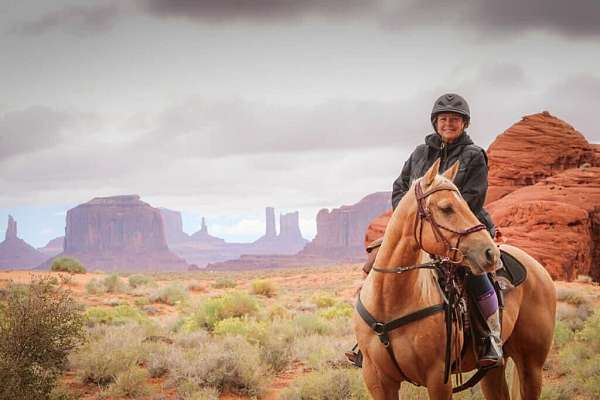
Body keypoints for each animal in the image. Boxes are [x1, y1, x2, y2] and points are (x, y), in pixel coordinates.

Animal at [352, 160, 556, 400]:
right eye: (446, 208)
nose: (490, 254)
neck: (390, 302)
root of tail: (537, 267)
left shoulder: (438, 378)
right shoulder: (378, 380)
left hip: (531, 365)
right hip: (493, 369)